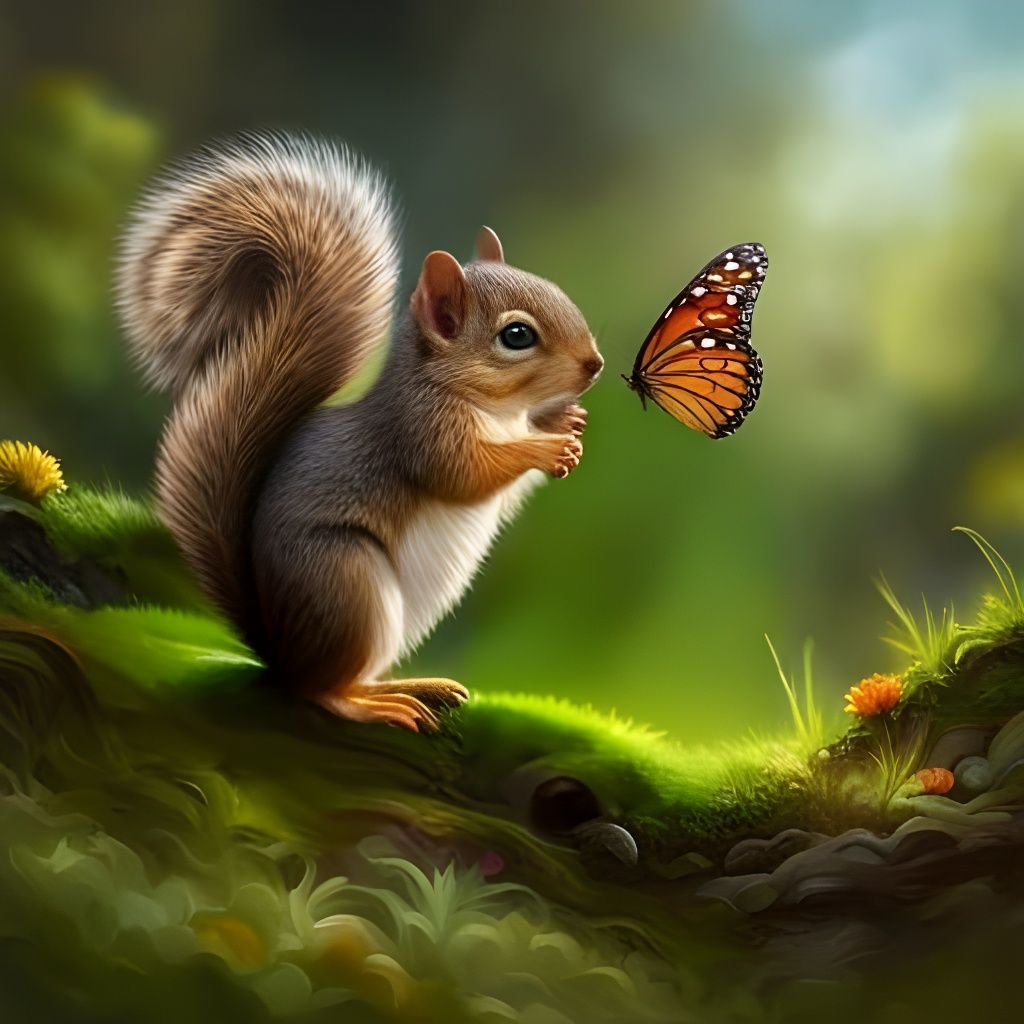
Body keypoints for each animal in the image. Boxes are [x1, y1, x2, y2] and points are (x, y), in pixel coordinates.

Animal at [116, 133, 603, 732]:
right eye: (516, 335)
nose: (595, 365)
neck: (494, 409)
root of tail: (276, 647)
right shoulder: (419, 431)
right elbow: (465, 474)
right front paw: (547, 444)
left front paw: (563, 422)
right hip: (344, 581)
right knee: (319, 688)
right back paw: (373, 704)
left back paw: (413, 684)